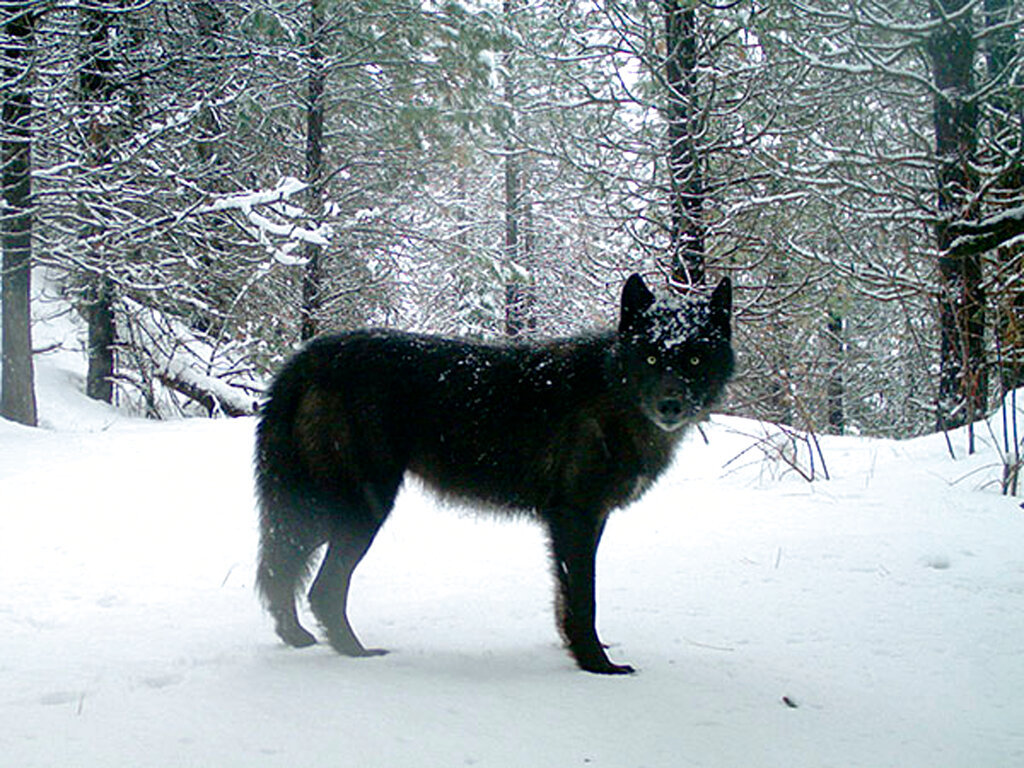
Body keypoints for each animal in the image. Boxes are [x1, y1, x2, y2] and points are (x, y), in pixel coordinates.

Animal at [256, 274, 737, 671]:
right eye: (652, 357)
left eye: (695, 359)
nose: (670, 405)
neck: (613, 392)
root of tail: (308, 357)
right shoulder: (575, 518)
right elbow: (584, 598)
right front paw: (596, 665)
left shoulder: (582, 521)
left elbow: (566, 599)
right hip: (360, 509)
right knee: (319, 586)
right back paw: (355, 653)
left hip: (322, 510)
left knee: (282, 568)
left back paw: (297, 637)